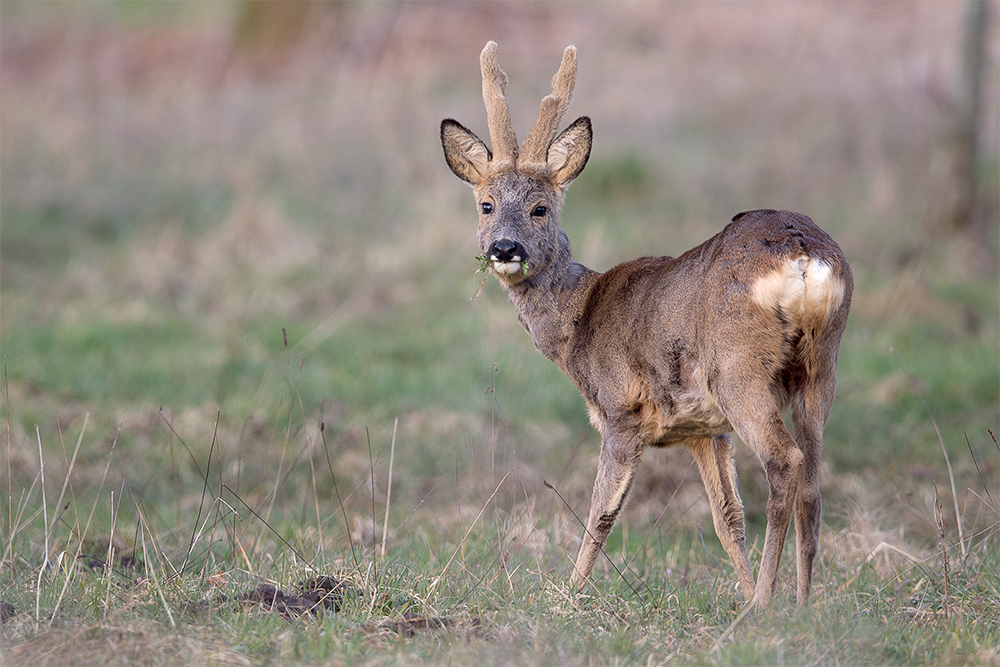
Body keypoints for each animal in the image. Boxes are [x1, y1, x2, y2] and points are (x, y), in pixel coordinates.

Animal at [444, 39, 852, 608]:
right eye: (485, 205)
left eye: (540, 208)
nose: (505, 249)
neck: (579, 320)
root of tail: (803, 256)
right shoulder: (705, 429)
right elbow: (727, 519)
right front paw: (743, 585)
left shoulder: (623, 411)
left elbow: (601, 513)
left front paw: (568, 595)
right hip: (821, 363)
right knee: (812, 479)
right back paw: (800, 603)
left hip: (739, 368)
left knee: (784, 461)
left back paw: (765, 605)